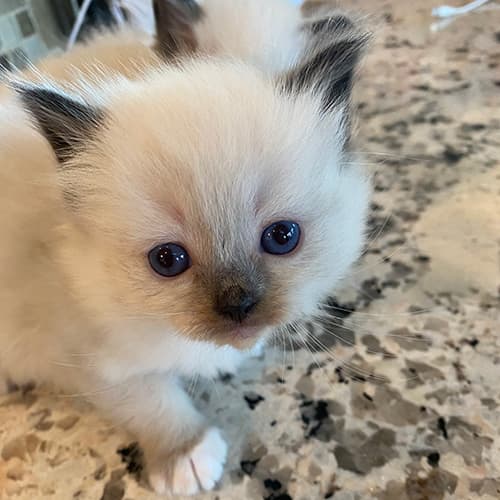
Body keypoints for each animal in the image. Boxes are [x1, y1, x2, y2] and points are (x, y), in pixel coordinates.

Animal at [0, 8, 372, 500]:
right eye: (168, 260)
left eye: (282, 236)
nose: (238, 304)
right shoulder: (85, 359)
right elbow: (152, 402)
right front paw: (187, 457)